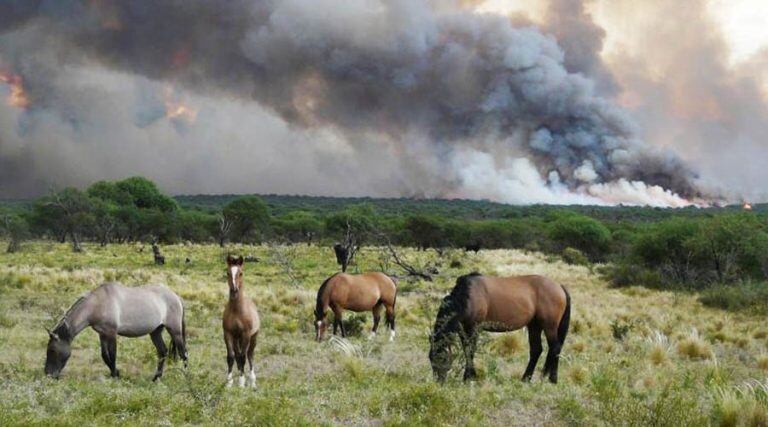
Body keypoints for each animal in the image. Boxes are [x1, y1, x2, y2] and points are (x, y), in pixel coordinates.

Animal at [45, 284, 188, 382]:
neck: (98, 304)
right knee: (162, 352)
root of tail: (176, 297)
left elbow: (113, 355)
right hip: (155, 332)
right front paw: (116, 373)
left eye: (52, 350)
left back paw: (185, 377)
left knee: (183, 353)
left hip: (175, 331)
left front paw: (115, 376)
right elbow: (105, 356)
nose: (48, 374)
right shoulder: (102, 334)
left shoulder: (112, 334)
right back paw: (156, 378)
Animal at [220, 256, 260, 390]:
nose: (234, 290)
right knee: (238, 355)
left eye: (241, 273)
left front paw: (242, 383)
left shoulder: (246, 335)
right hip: (236, 339)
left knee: (249, 355)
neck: (237, 311)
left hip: (253, 337)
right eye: (228, 272)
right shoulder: (228, 334)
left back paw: (252, 382)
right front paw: (229, 382)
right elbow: (231, 356)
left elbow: (243, 357)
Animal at [428, 272, 572, 386]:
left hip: (549, 326)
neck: (468, 295)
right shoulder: (464, 329)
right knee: (536, 350)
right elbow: (466, 349)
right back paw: (525, 379)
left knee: (555, 348)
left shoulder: (474, 328)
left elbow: (471, 350)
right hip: (534, 326)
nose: (438, 382)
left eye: (442, 358)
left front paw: (468, 377)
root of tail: (559, 286)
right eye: (431, 358)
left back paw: (552, 379)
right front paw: (470, 375)